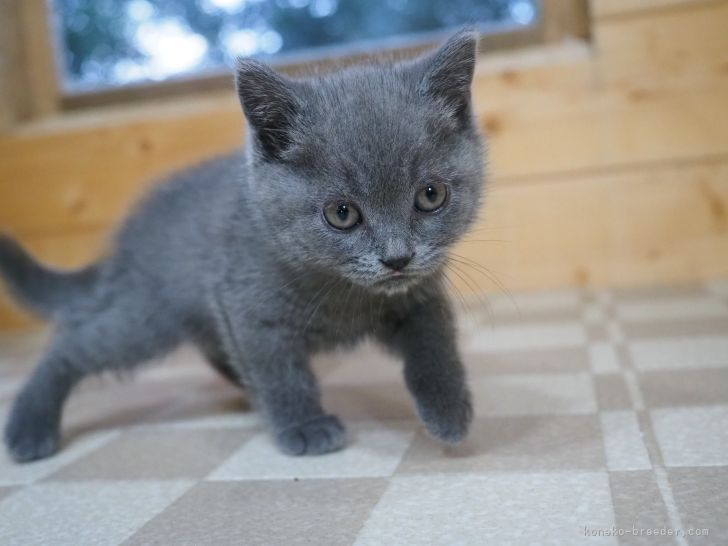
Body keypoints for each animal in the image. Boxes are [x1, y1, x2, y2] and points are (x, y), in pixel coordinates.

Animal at [4, 29, 490, 460]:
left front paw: (449, 410)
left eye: (431, 195)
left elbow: (435, 345)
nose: (397, 257)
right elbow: (279, 373)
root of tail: (127, 239)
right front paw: (304, 427)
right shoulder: (249, 310)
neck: (343, 292)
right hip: (146, 315)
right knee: (75, 344)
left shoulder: (420, 293)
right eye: (342, 213)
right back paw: (29, 425)